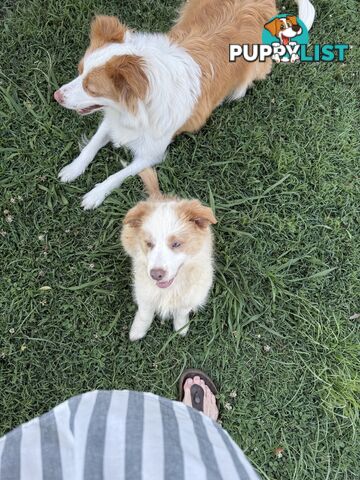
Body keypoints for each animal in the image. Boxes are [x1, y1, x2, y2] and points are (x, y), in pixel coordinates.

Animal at [53, 0, 316, 210]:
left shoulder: (151, 153)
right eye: (79, 71)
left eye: (91, 87)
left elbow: (118, 175)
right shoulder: (114, 121)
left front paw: (95, 194)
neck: (134, 109)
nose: (56, 96)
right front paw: (73, 169)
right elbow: (92, 145)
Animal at [121, 169, 217, 342]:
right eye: (149, 243)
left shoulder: (192, 294)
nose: (156, 275)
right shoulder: (144, 291)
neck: (170, 289)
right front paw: (137, 332)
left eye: (176, 244)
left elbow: (182, 312)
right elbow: (145, 313)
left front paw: (181, 328)